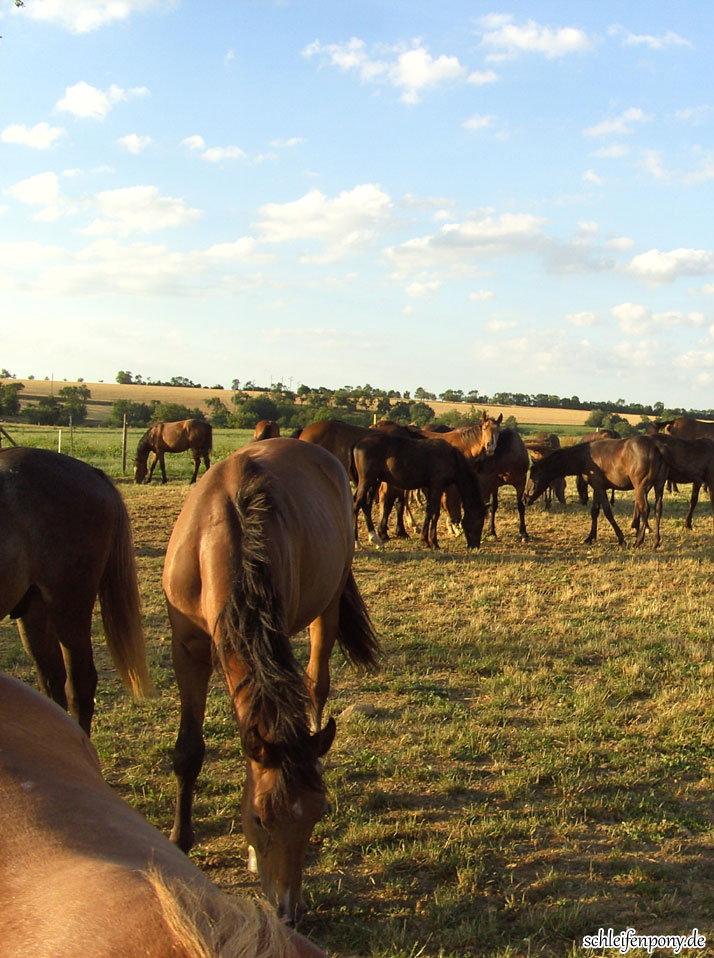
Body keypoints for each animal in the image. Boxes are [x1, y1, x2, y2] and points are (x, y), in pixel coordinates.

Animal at [161, 438, 378, 928]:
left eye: (316, 818)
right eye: (259, 818)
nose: (289, 912)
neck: (224, 535)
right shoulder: (187, 647)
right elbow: (189, 750)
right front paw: (180, 838)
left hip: (327, 606)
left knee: (316, 686)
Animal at [350, 432, 484, 552]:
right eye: (479, 521)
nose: (475, 546)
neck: (452, 457)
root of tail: (358, 444)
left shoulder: (429, 488)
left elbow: (428, 512)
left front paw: (425, 540)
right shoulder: (437, 486)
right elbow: (435, 513)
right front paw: (434, 543)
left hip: (374, 482)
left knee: (366, 505)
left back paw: (376, 540)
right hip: (367, 480)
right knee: (356, 504)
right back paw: (356, 542)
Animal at [520, 436, 664, 548]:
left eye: (534, 476)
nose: (524, 499)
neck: (585, 457)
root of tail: (656, 447)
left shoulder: (599, 487)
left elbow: (607, 512)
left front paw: (621, 538)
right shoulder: (596, 487)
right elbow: (594, 511)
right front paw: (590, 537)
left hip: (641, 488)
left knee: (645, 509)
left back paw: (638, 541)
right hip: (658, 486)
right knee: (657, 509)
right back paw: (656, 541)